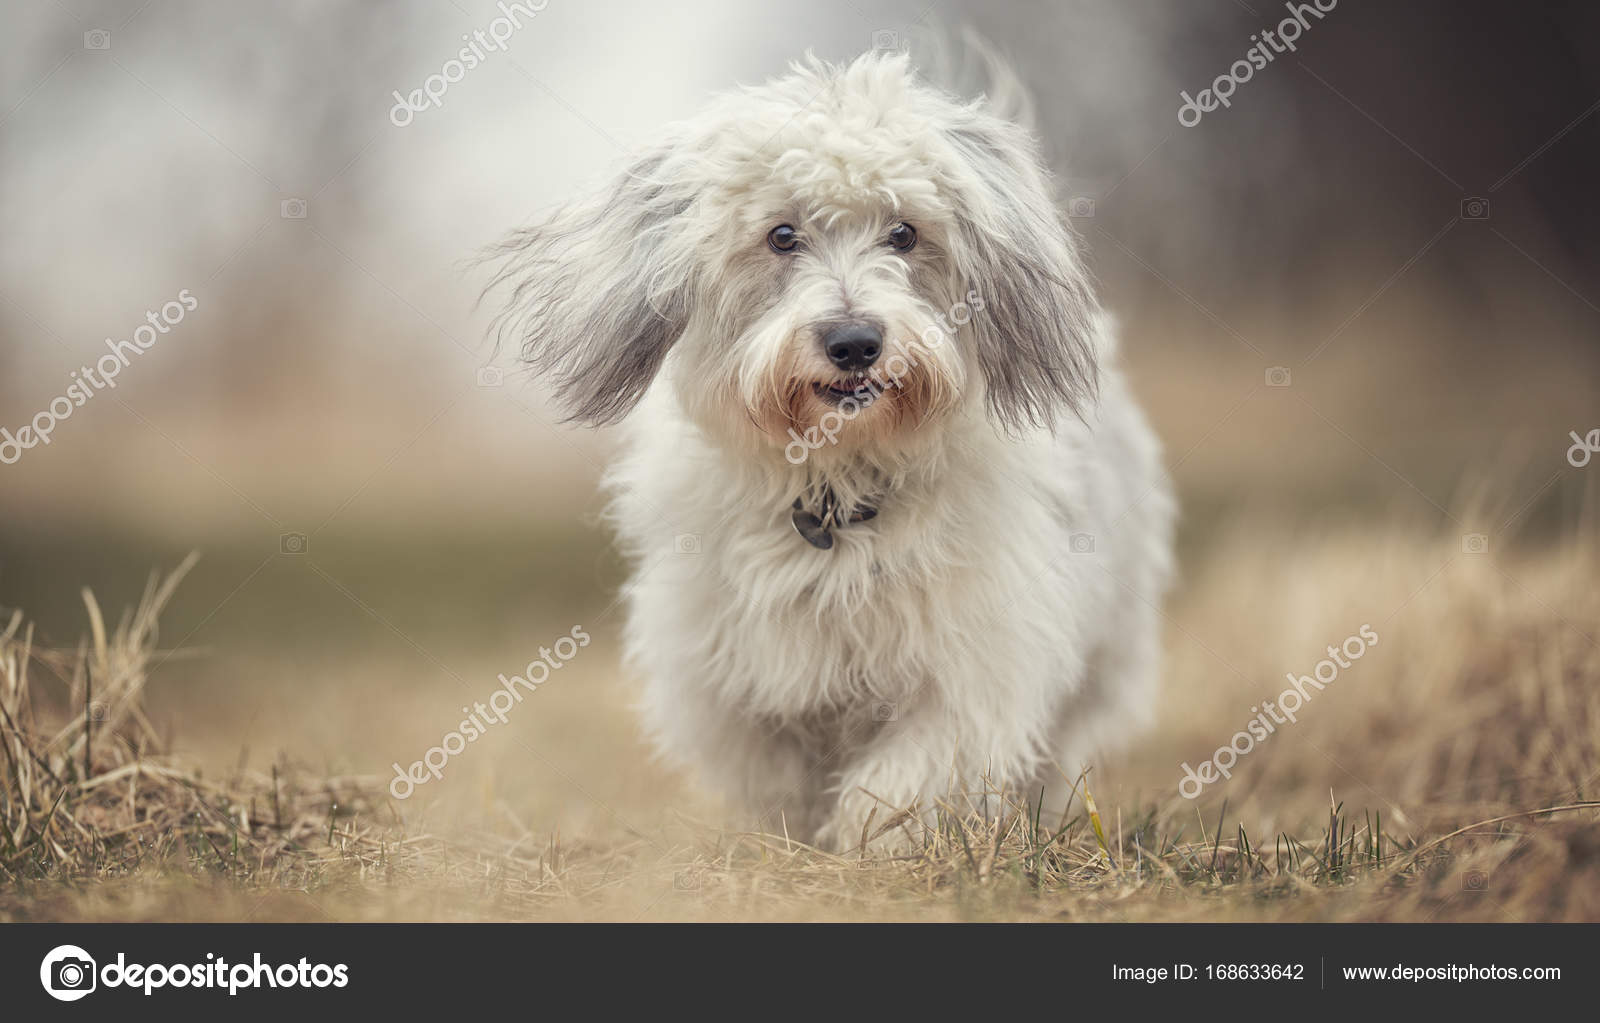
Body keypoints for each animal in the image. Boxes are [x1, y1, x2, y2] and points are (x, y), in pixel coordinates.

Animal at [486, 48, 1177, 851]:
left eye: (904, 234)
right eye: (782, 236)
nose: (854, 341)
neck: (835, 494)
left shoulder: (972, 663)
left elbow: (909, 773)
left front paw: (873, 841)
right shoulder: (732, 680)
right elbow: (780, 772)